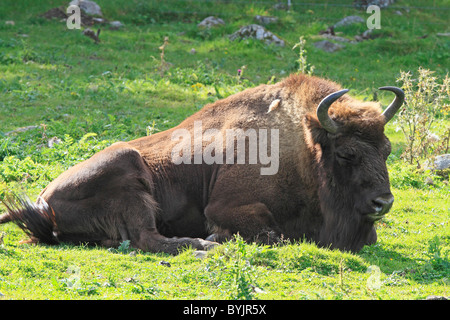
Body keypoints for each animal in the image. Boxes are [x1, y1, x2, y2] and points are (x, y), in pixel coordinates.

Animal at [0, 74, 400, 254]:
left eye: (387, 149)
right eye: (346, 153)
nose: (384, 202)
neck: (303, 149)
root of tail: (44, 202)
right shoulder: (226, 207)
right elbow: (272, 234)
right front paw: (215, 237)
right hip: (129, 171)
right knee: (148, 238)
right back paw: (200, 243)